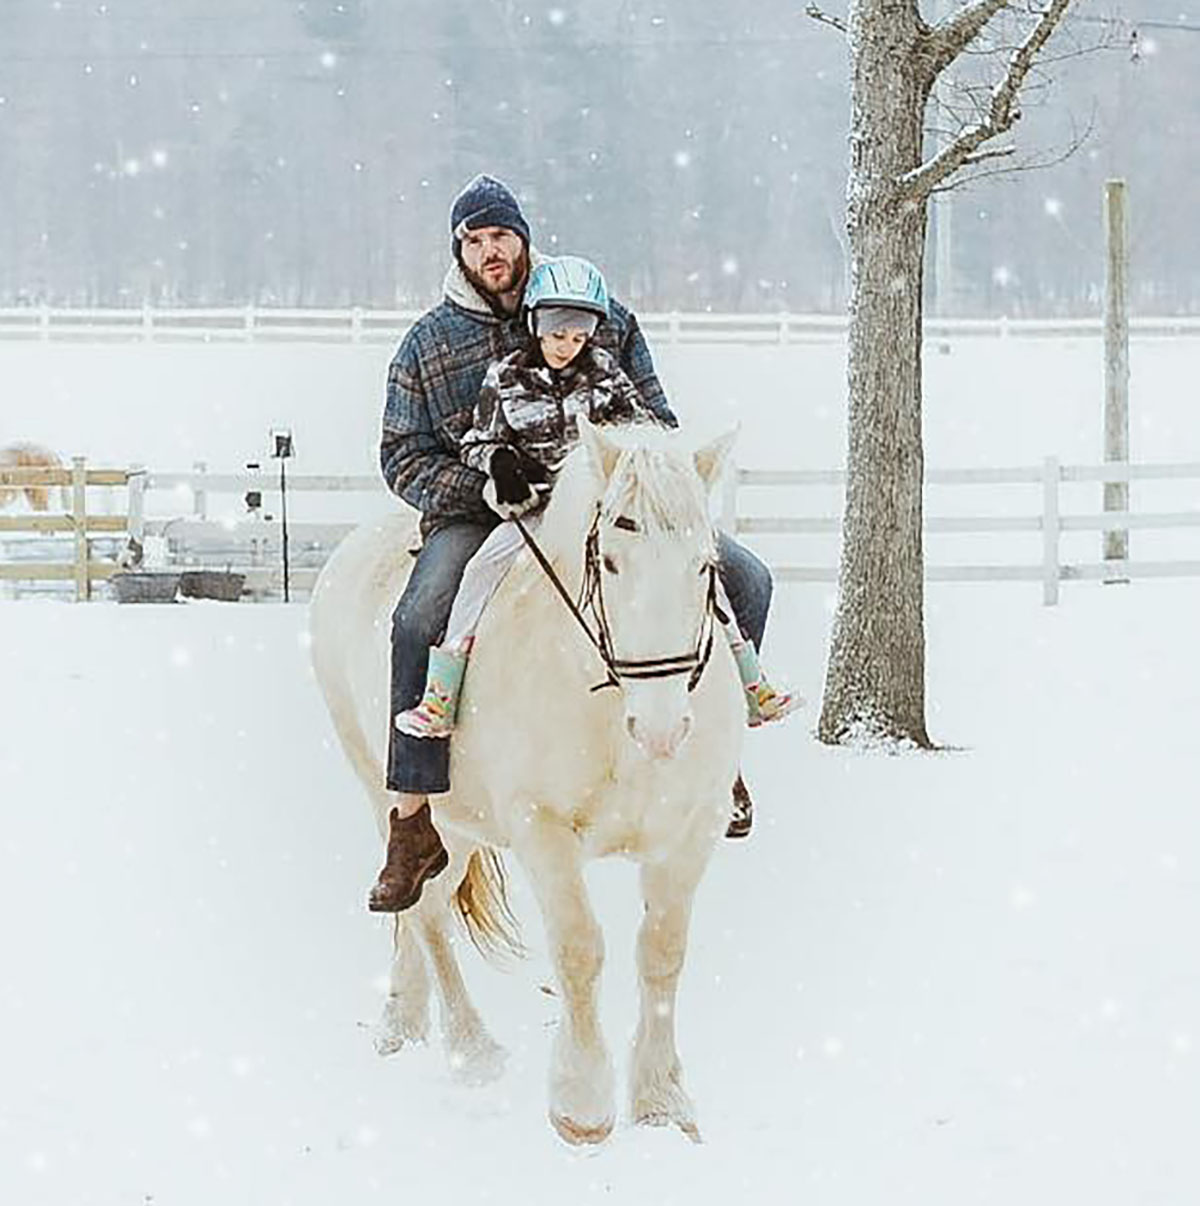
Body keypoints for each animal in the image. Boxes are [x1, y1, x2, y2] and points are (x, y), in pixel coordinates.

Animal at [308, 419, 742, 1143]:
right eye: (611, 563)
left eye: (705, 565)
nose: (661, 728)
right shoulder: (543, 829)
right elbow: (578, 948)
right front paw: (582, 1105)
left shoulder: (689, 835)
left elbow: (662, 951)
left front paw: (661, 1101)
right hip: (382, 788)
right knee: (423, 910)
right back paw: (471, 1048)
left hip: (456, 827)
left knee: (426, 904)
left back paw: (402, 1021)